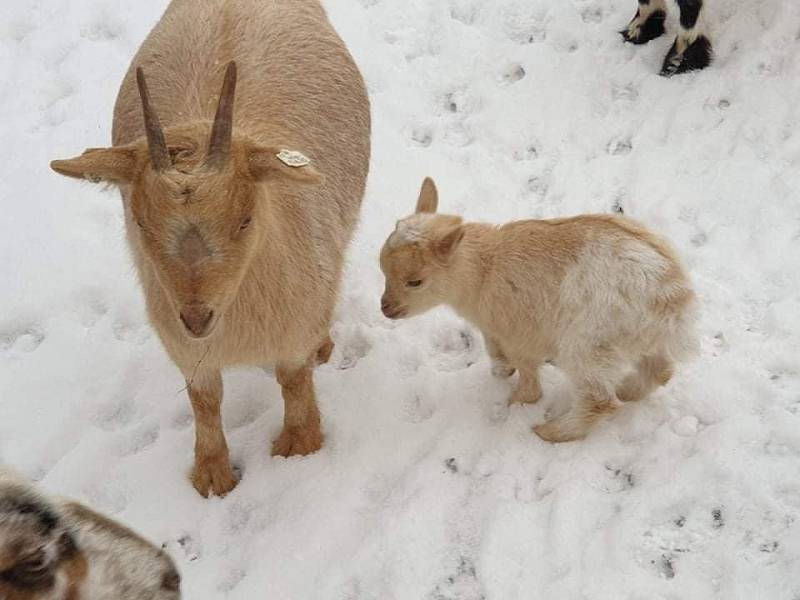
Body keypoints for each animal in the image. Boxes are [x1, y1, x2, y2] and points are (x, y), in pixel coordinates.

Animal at [51, 0, 370, 496]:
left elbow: (293, 379)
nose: (197, 317)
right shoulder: (183, 347)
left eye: (245, 218)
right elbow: (204, 399)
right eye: (139, 221)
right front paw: (213, 475)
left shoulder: (294, 327)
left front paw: (300, 445)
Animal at [378, 178, 696, 440]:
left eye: (415, 282)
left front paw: (513, 403)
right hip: (635, 338)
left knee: (599, 400)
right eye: (382, 268)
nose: (386, 309)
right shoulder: (493, 324)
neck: (483, 270)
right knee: (660, 370)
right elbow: (493, 347)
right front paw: (501, 370)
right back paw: (627, 391)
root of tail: (673, 301)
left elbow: (530, 383)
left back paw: (552, 431)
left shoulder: (520, 334)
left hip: (588, 342)